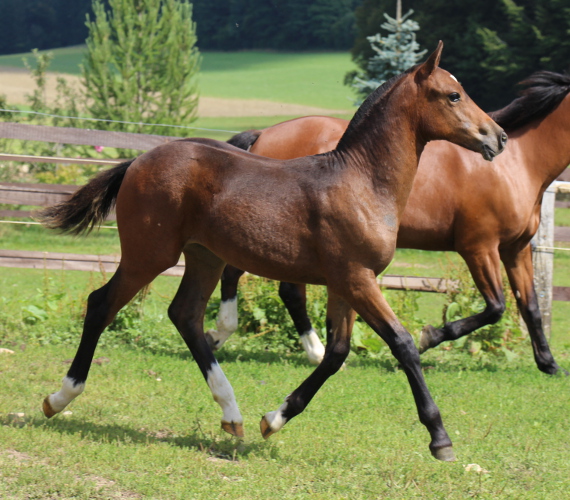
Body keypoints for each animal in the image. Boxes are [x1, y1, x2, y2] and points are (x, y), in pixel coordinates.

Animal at [37, 45, 504, 462]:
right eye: (454, 95)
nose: (497, 137)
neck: (362, 182)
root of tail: (139, 160)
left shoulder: (346, 282)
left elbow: (336, 353)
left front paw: (274, 419)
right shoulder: (356, 278)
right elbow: (403, 344)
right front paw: (440, 438)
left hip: (204, 256)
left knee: (185, 315)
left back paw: (233, 414)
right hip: (149, 254)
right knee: (102, 304)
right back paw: (60, 397)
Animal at [209, 69, 568, 376]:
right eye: (454, 95)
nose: (499, 139)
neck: (517, 164)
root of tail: (263, 134)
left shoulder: (515, 248)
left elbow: (531, 306)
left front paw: (549, 365)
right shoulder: (478, 247)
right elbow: (496, 307)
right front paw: (429, 337)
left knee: (274, 286)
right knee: (250, 280)